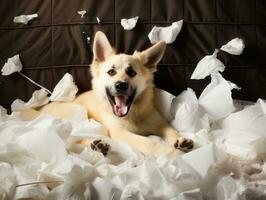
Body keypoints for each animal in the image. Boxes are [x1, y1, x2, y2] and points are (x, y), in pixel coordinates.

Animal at [27, 31, 193, 158]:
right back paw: (98, 145)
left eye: (132, 73)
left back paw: (98, 145)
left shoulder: (160, 123)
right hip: (78, 113)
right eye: (111, 72)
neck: (134, 114)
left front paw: (181, 140)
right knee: (70, 140)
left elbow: (172, 131)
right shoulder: (120, 133)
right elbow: (150, 142)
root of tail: (38, 111)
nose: (120, 85)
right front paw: (172, 153)